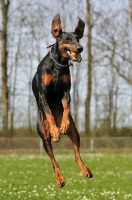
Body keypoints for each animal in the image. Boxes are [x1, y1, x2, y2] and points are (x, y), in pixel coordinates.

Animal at [31, 13, 93, 188]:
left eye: (78, 38)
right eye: (67, 39)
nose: (80, 48)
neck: (59, 65)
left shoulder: (66, 91)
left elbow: (66, 107)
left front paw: (63, 124)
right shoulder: (43, 94)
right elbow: (49, 113)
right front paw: (55, 130)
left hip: (75, 132)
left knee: (77, 155)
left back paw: (86, 170)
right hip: (44, 137)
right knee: (54, 161)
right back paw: (59, 179)